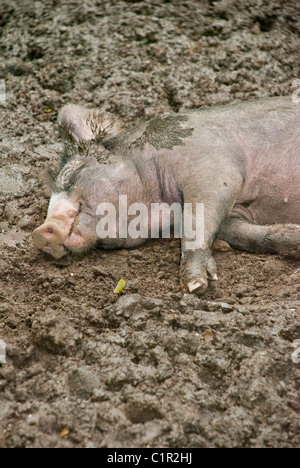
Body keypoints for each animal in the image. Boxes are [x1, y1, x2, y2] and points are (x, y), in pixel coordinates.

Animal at [32, 97, 300, 294]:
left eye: (70, 176)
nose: (39, 233)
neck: (164, 208)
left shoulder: (213, 165)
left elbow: (196, 217)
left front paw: (195, 286)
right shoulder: (234, 213)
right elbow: (239, 233)